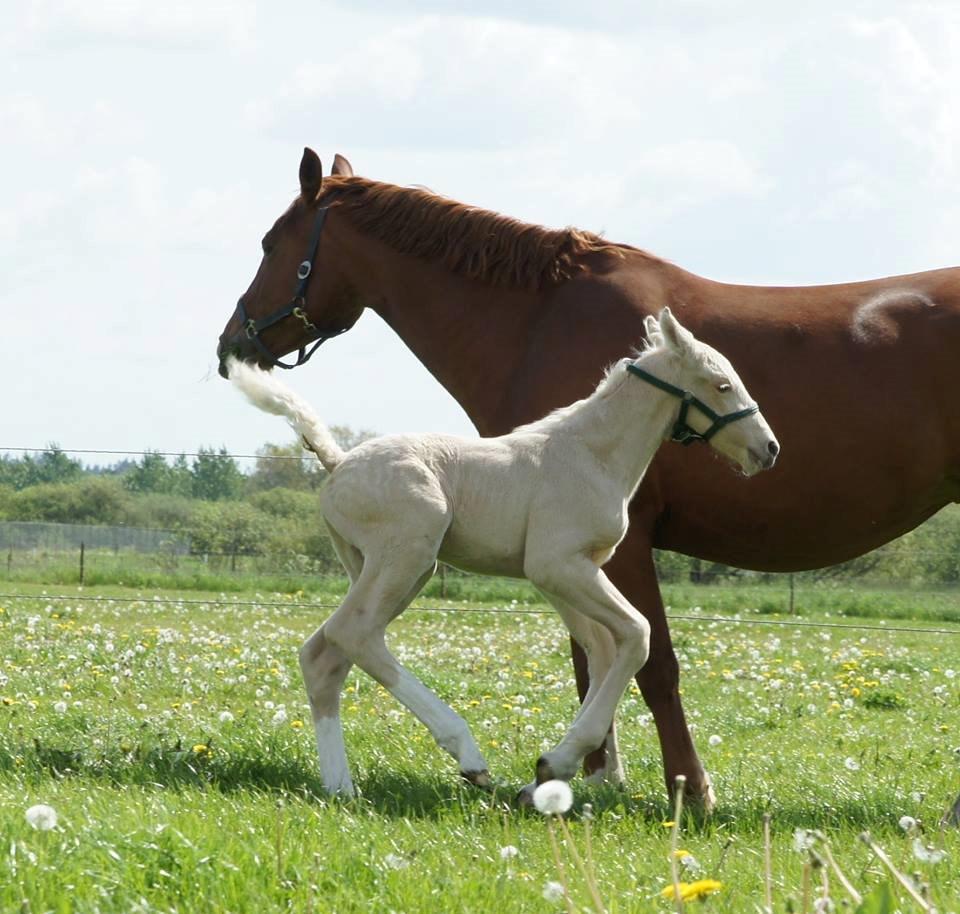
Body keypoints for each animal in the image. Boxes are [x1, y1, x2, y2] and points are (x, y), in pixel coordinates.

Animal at [231, 310, 780, 796]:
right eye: (722, 385)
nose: (769, 449)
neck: (592, 456)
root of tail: (337, 461)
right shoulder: (557, 564)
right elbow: (636, 635)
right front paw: (557, 764)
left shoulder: (568, 573)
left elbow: (602, 650)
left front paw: (553, 777)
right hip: (405, 557)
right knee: (354, 634)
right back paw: (467, 755)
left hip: (378, 568)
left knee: (325, 653)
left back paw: (340, 787)